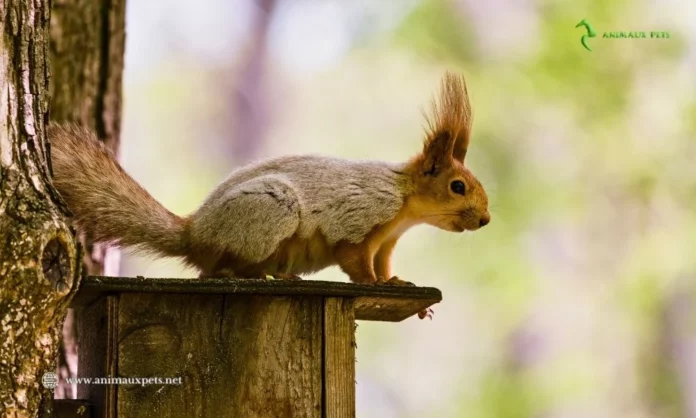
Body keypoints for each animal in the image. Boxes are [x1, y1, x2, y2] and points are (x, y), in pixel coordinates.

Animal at [49, 72, 490, 316]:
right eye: (458, 186)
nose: (485, 220)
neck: (403, 203)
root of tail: (194, 235)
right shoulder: (361, 219)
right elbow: (355, 262)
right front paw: (375, 285)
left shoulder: (386, 241)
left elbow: (381, 265)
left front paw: (395, 284)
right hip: (271, 211)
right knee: (218, 270)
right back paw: (248, 272)